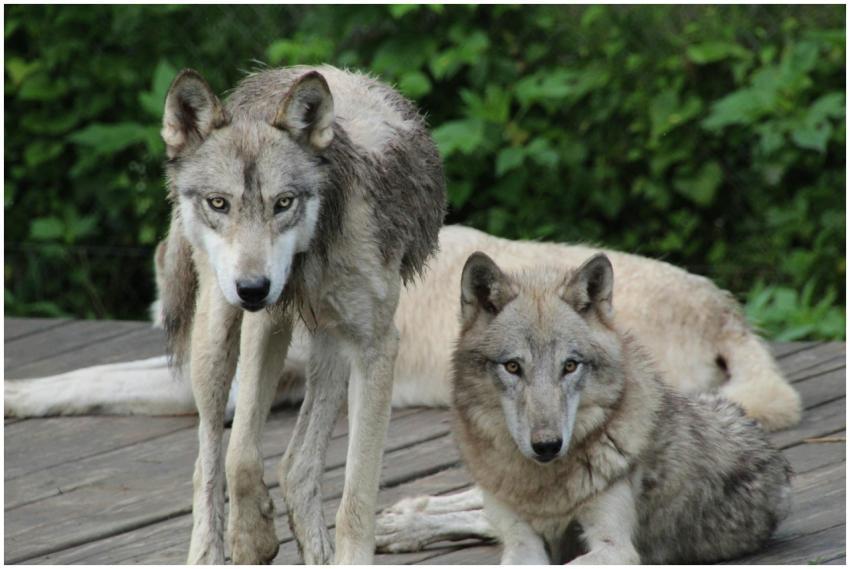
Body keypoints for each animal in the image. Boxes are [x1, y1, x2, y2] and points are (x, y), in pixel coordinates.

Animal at [142, 64, 445, 565]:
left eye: (283, 203)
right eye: (219, 203)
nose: (252, 287)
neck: (310, 258)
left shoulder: (376, 348)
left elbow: (356, 495)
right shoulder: (262, 322)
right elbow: (239, 457)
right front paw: (251, 539)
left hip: (330, 344)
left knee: (295, 465)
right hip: (219, 338)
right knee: (210, 457)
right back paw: (209, 550)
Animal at [378, 252, 792, 564]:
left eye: (570, 366)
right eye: (512, 367)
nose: (547, 446)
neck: (540, 486)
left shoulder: (615, 548)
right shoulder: (522, 543)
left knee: (480, 516)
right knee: (478, 502)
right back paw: (406, 517)